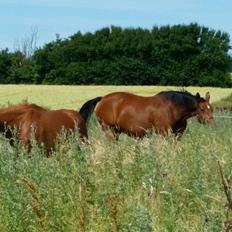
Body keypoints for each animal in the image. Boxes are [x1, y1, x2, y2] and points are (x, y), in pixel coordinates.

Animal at [82, 90, 214, 140]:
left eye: (211, 108)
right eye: (202, 109)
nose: (211, 122)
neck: (173, 107)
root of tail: (102, 99)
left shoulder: (177, 135)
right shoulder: (162, 133)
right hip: (109, 130)